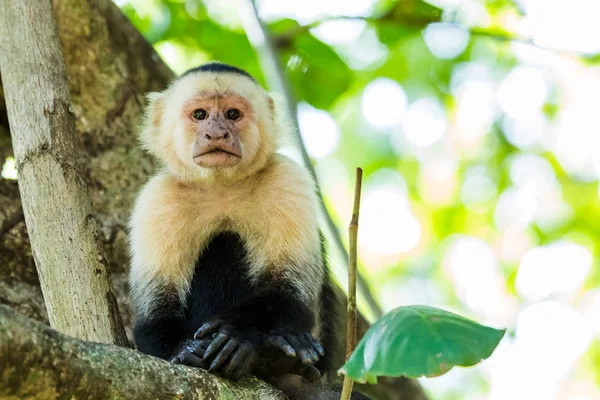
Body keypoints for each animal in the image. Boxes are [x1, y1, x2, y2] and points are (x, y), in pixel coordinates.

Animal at [130, 62, 370, 400]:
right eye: (200, 114)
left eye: (232, 114)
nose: (217, 133)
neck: (222, 186)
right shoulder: (157, 199)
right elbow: (153, 314)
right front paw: (182, 348)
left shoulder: (288, 179)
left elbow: (288, 292)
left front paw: (237, 334)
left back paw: (278, 358)